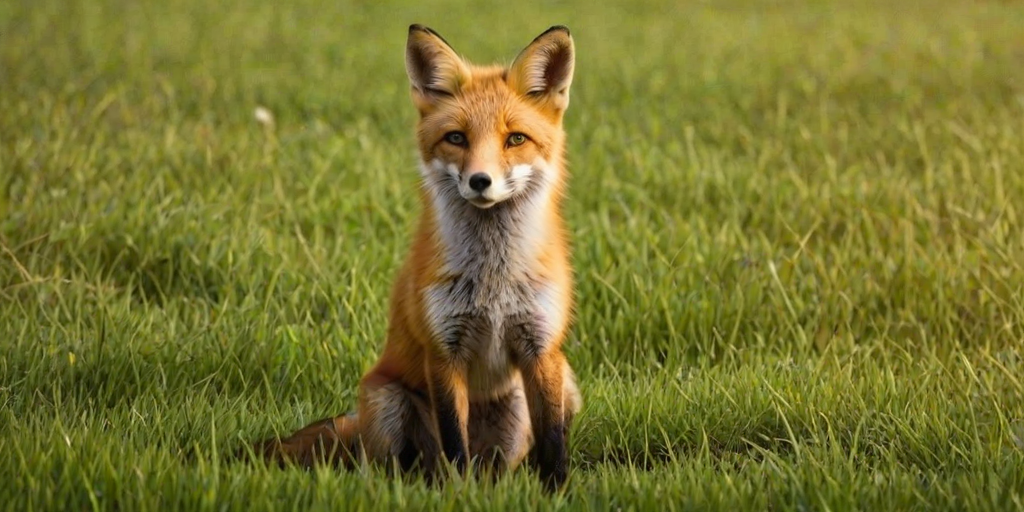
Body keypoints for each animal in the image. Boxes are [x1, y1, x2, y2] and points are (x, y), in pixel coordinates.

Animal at [248, 24, 582, 490]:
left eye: (515, 138)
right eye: (456, 138)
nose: (480, 181)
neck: (493, 281)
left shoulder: (542, 347)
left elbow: (552, 440)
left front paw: (558, 492)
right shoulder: (442, 351)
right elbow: (454, 442)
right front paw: (459, 494)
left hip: (558, 385)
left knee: (501, 467)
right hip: (387, 401)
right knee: (394, 467)